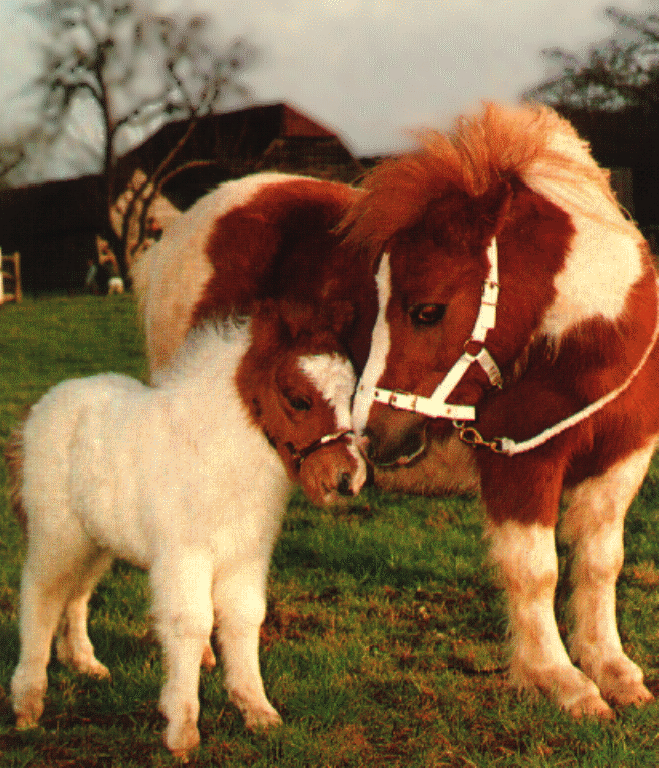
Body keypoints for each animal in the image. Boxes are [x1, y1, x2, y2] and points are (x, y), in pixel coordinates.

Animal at [6, 299, 366, 759]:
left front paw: (258, 711)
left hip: (95, 541)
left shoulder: (245, 557)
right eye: (299, 399)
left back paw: (83, 662)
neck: (217, 452)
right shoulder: (185, 556)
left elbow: (245, 618)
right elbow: (192, 623)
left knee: (77, 594)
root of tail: (40, 409)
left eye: (351, 395)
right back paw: (28, 704)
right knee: (42, 594)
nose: (347, 477)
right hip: (58, 534)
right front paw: (182, 729)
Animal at [344, 101, 659, 717]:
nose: (369, 434)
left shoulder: (623, 457)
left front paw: (612, 670)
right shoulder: (520, 464)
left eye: (426, 310)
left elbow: (599, 562)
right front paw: (561, 680)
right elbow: (535, 570)